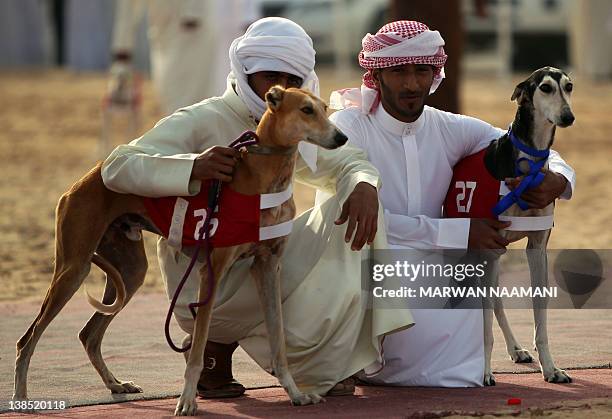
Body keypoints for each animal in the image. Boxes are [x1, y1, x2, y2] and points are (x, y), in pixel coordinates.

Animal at [482, 66, 572, 388]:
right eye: (545, 88)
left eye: (569, 86)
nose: (568, 116)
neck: (528, 163)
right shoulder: (489, 246)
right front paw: (483, 372)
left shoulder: (537, 249)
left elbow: (540, 319)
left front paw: (552, 368)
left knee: (495, 300)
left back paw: (516, 349)